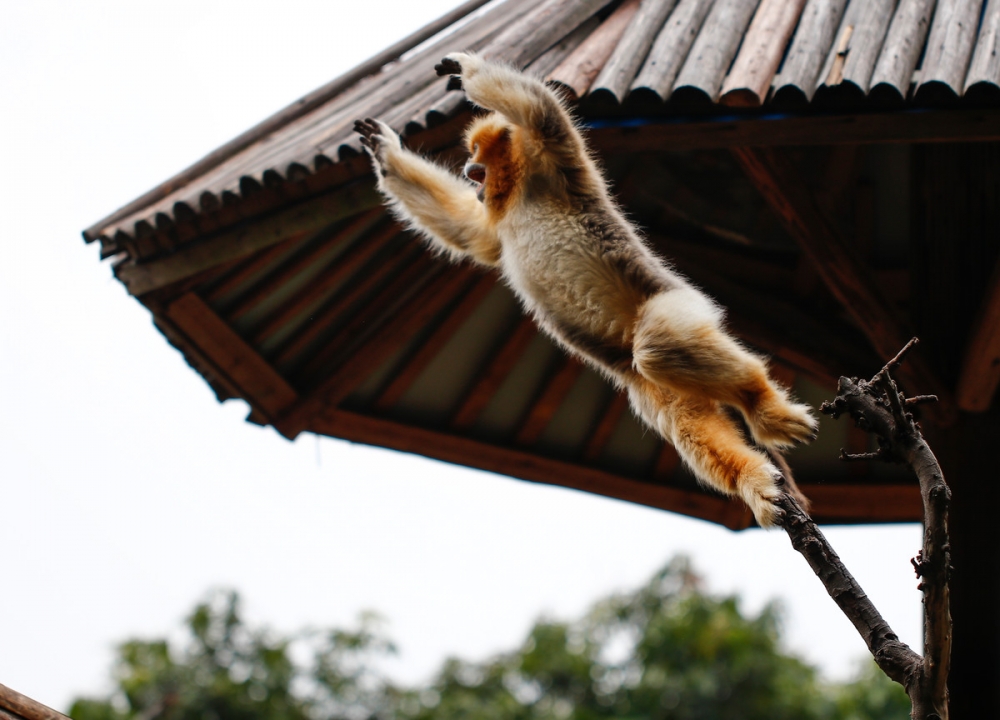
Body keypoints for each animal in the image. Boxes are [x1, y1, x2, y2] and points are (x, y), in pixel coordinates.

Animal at [356, 49, 816, 524]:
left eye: (477, 162)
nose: (468, 170)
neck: (518, 192)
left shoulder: (554, 156)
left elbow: (537, 108)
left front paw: (464, 68)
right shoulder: (495, 223)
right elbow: (468, 232)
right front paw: (385, 151)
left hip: (676, 305)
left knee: (659, 347)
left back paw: (762, 405)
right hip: (653, 384)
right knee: (682, 412)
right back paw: (753, 480)